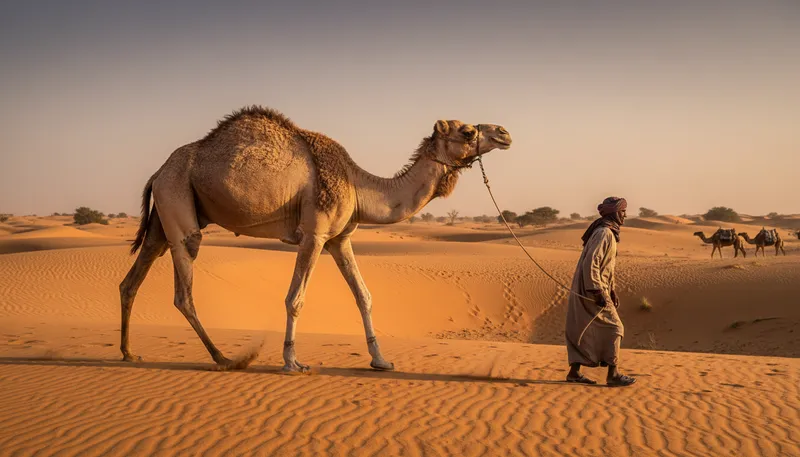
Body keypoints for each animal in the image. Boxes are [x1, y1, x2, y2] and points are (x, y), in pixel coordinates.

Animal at [119, 105, 512, 372]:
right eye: (466, 131)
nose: (504, 133)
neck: (358, 184)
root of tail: (157, 172)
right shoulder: (315, 234)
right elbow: (295, 299)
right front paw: (292, 361)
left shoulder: (340, 239)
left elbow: (364, 296)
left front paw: (381, 360)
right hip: (178, 202)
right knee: (184, 289)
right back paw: (226, 358)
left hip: (163, 217)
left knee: (132, 280)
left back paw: (128, 352)